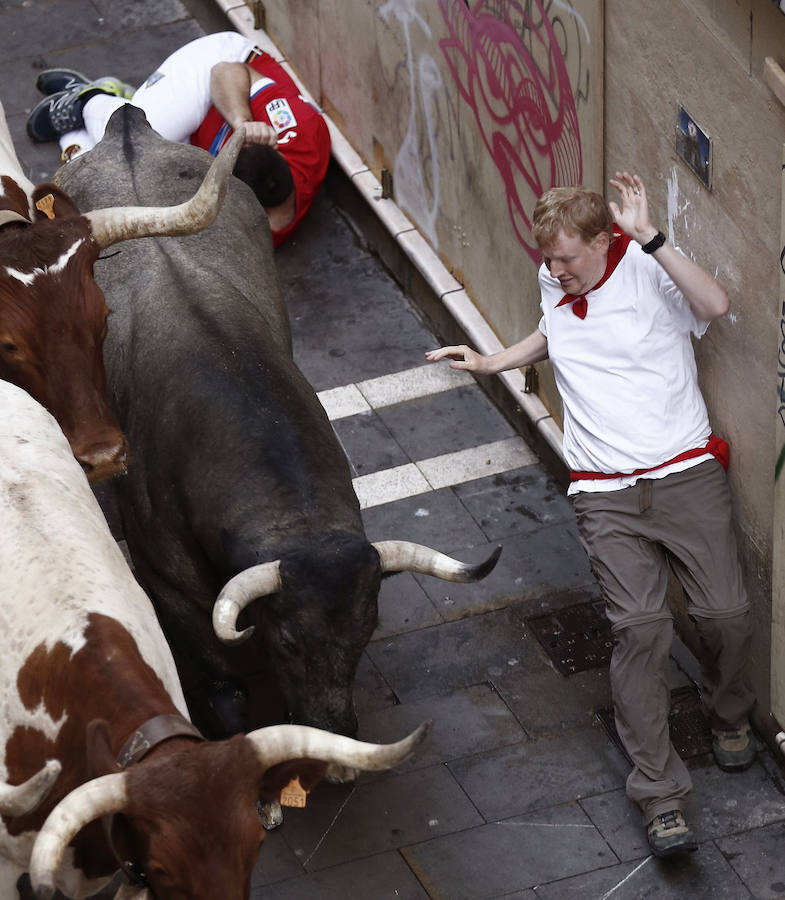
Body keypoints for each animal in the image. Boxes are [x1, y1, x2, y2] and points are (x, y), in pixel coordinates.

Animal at [55, 107, 500, 740]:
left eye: (363, 635)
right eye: (288, 642)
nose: (333, 727)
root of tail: (126, 127)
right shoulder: (171, 586)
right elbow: (221, 682)